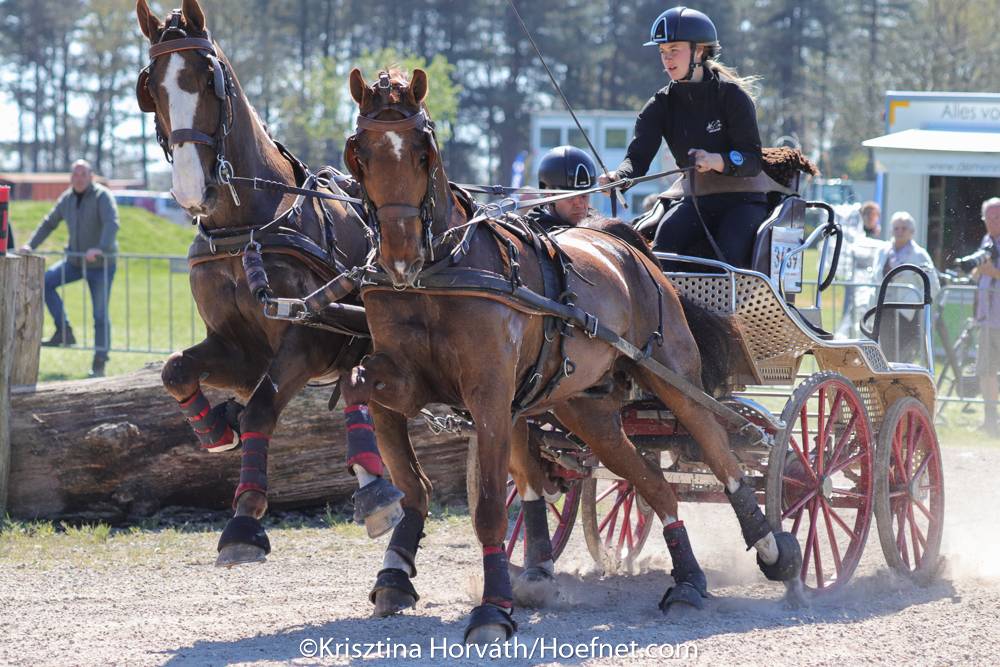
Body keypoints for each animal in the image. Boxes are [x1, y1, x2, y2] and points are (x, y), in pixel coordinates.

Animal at [134, 0, 402, 566]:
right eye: (152, 88)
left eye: (207, 79)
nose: (190, 188)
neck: (247, 229)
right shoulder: (239, 349)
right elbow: (176, 370)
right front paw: (216, 428)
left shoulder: (308, 340)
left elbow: (261, 408)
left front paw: (244, 519)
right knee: (360, 391)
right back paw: (372, 483)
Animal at [343, 69, 804, 643]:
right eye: (359, 153)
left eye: (424, 152)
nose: (399, 256)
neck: (441, 271)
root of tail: (630, 248)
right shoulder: (401, 379)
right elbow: (398, 458)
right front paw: (392, 563)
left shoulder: (490, 396)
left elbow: (491, 508)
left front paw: (493, 609)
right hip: (587, 409)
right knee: (655, 485)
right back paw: (688, 582)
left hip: (674, 376)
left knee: (722, 453)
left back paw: (772, 550)